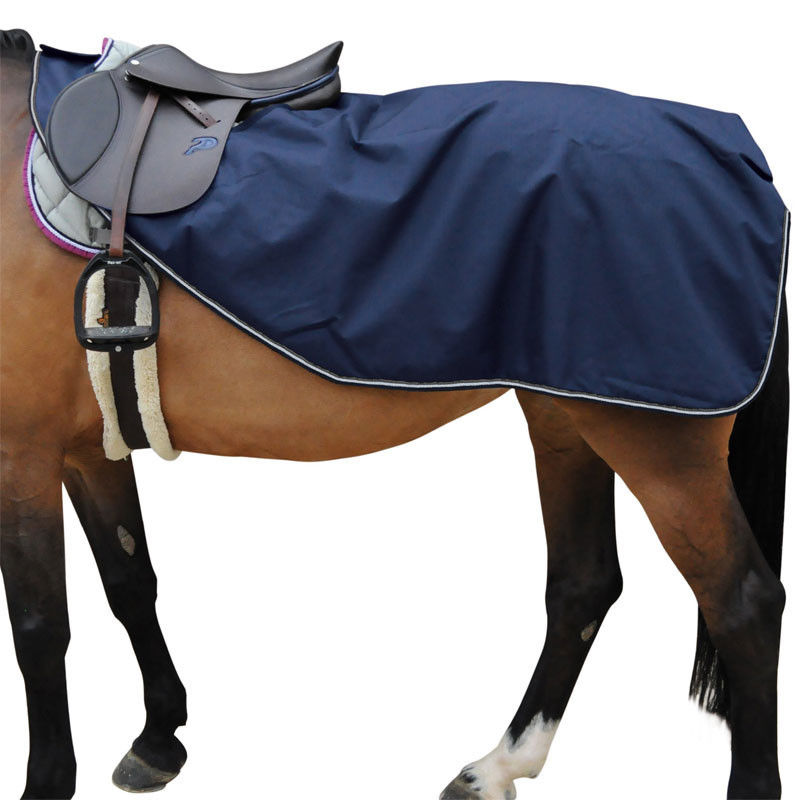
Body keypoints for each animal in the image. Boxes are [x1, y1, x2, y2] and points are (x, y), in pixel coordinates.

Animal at [0, 28, 790, 800]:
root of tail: (742, 156)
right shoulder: (82, 445)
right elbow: (130, 582)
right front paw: (159, 738)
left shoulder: (22, 453)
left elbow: (39, 627)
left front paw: (50, 780)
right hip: (570, 420)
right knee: (584, 583)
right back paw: (498, 767)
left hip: (658, 445)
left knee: (744, 605)